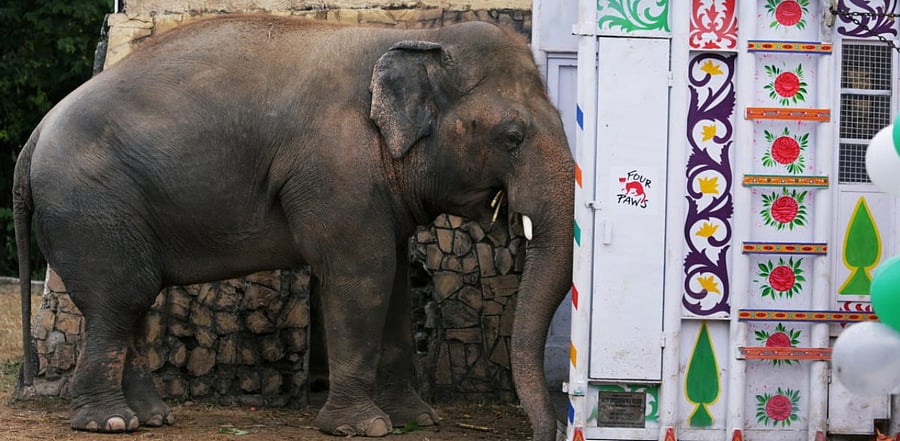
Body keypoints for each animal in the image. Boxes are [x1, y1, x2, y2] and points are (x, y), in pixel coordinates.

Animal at [12, 15, 574, 441]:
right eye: (513, 136)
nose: (540, 433)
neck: (418, 37)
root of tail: (34, 134)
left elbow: (393, 281)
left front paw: (417, 420)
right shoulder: (336, 168)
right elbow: (362, 274)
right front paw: (363, 428)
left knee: (129, 300)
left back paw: (153, 417)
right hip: (92, 206)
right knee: (119, 299)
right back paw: (109, 423)